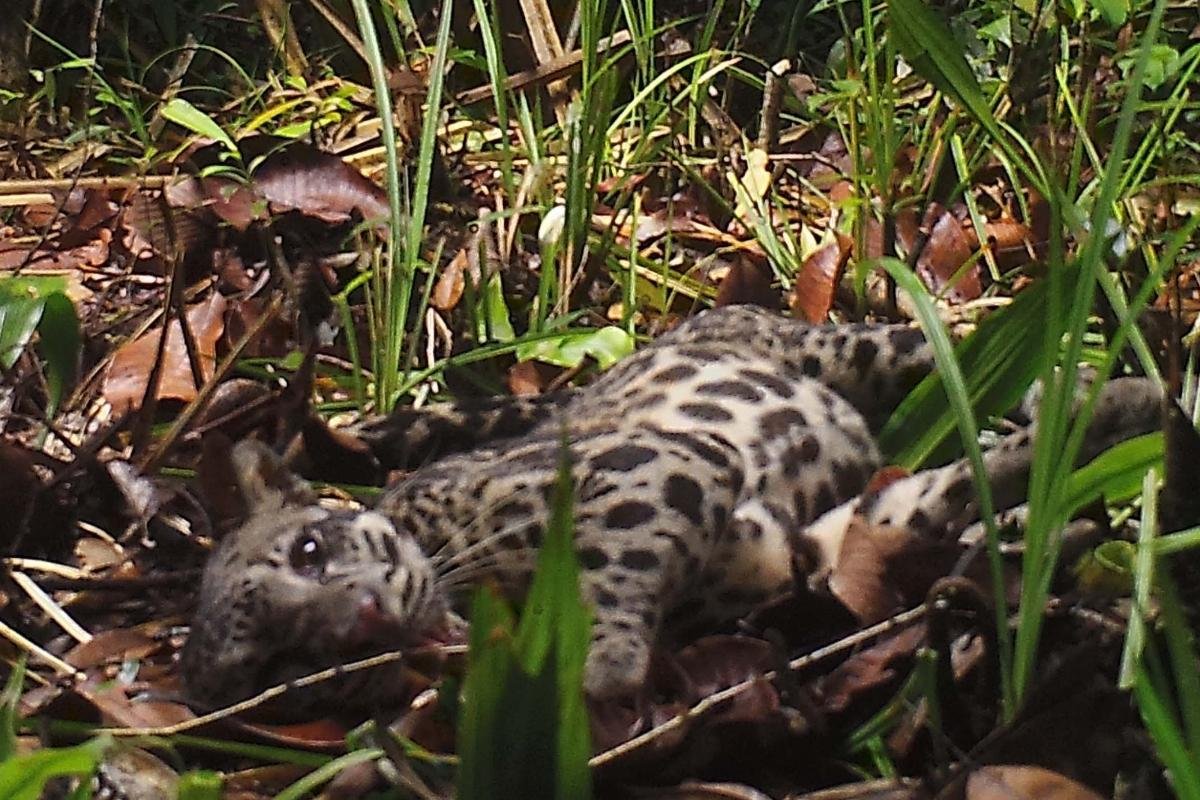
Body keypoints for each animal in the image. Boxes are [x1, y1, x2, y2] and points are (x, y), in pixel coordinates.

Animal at [180, 307, 1161, 714]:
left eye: (310, 550)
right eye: (289, 666)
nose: (367, 619)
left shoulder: (651, 468)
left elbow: (609, 571)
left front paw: (601, 667)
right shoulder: (811, 544)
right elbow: (947, 490)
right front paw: (1088, 436)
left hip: (847, 348)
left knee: (938, 337)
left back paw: (1071, 376)